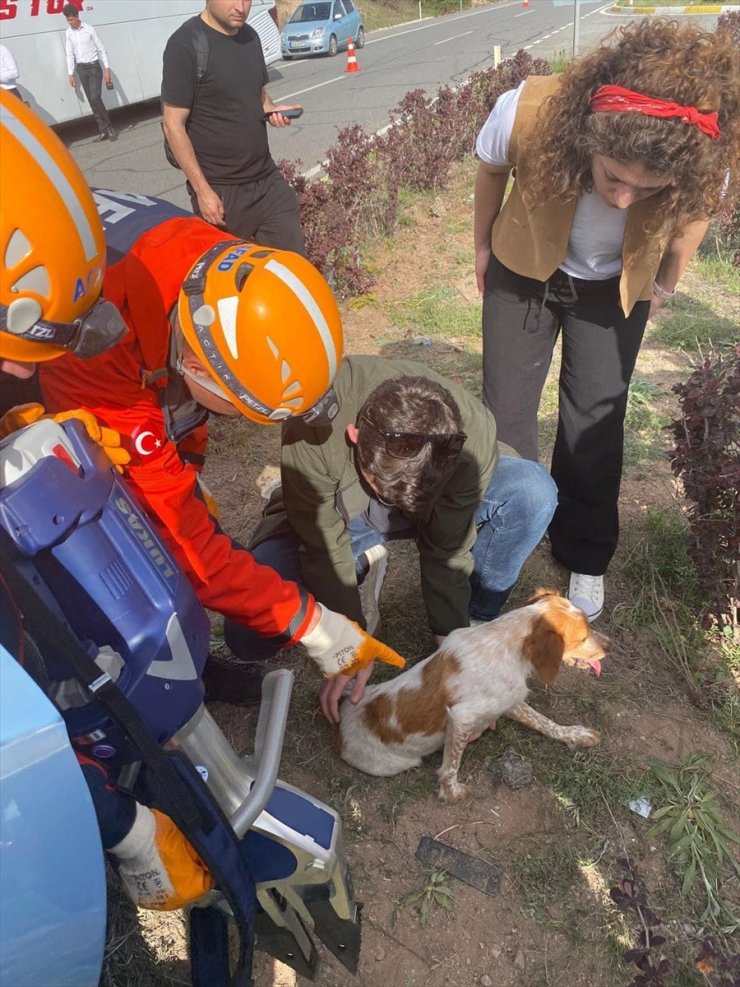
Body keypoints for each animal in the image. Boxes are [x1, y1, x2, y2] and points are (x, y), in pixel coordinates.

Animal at [338, 588, 608, 804]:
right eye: (583, 637)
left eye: (589, 625)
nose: (610, 645)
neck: (505, 644)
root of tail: (340, 723)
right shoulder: (461, 717)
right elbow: (451, 765)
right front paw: (452, 792)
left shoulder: (509, 700)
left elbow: (544, 722)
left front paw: (575, 734)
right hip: (398, 763)